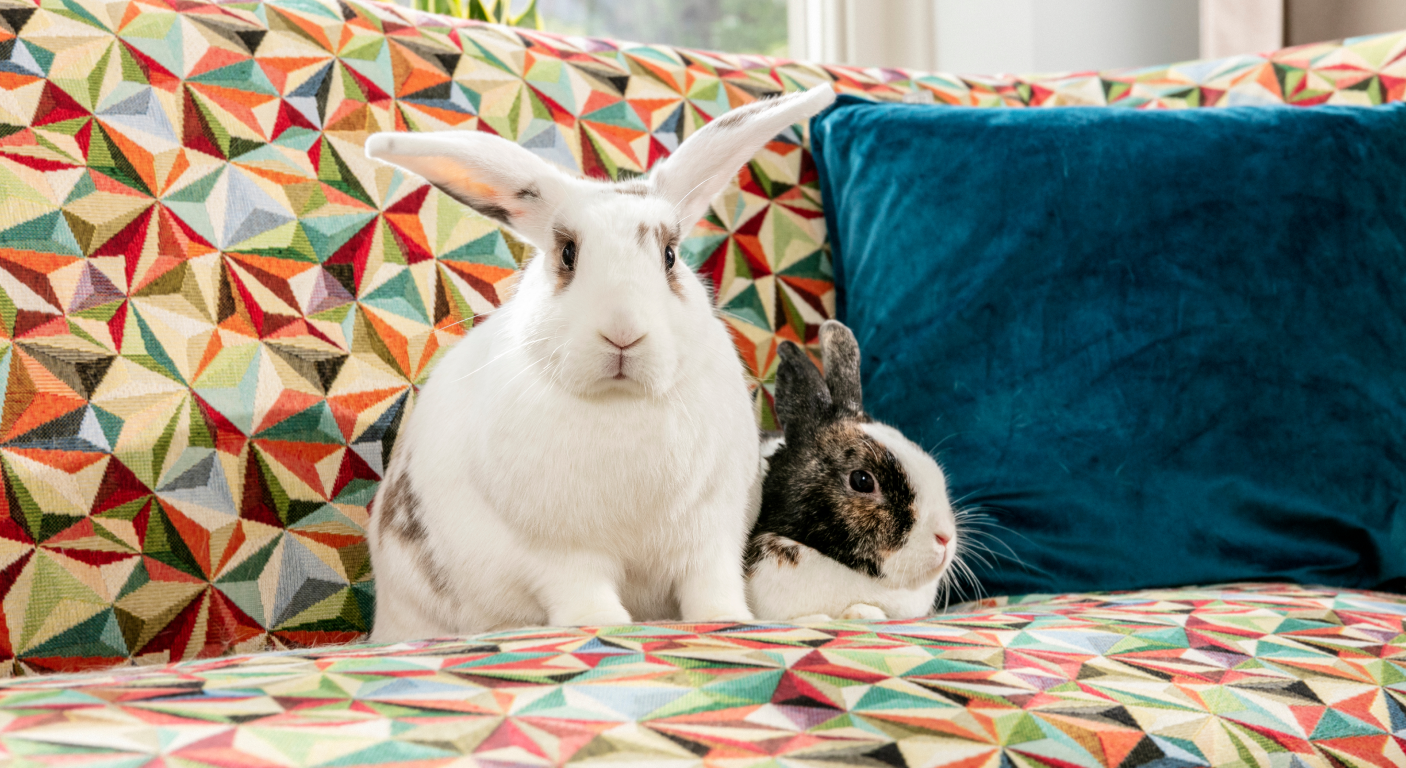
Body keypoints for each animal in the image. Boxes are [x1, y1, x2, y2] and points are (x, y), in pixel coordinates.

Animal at [361, 84, 838, 642]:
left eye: (670, 256)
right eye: (568, 254)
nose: (623, 332)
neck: (622, 401)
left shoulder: (710, 537)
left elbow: (712, 586)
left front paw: (729, 619)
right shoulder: (556, 553)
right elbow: (580, 591)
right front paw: (602, 624)